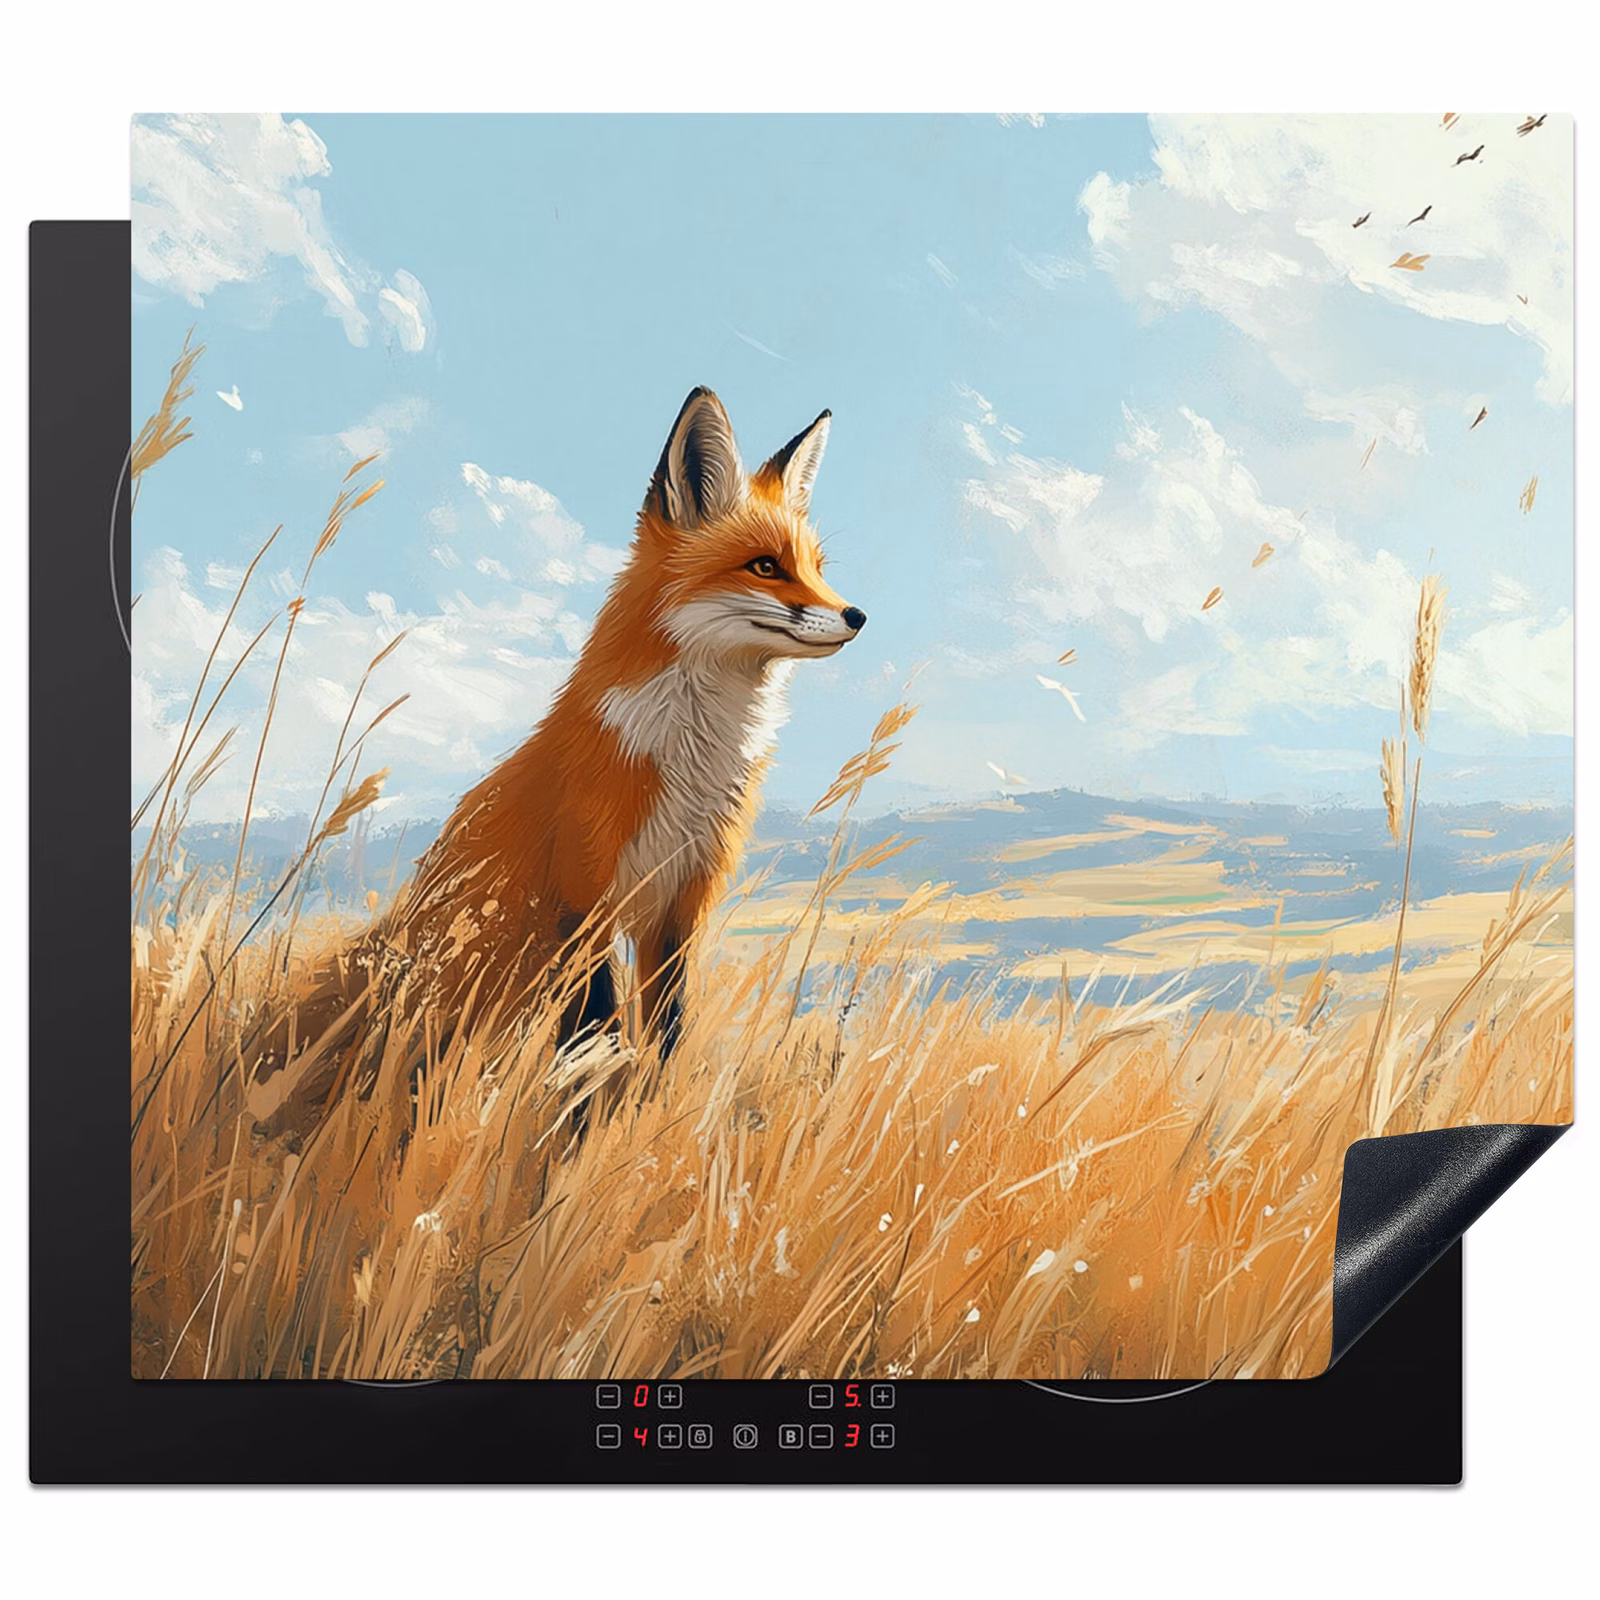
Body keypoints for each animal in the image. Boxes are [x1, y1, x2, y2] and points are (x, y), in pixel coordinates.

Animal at [342, 386, 866, 1126]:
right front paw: (586, 1122)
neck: (690, 763)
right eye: (766, 566)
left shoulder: (681, 901)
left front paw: (651, 1115)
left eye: (817, 569)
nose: (857, 616)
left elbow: (666, 1031)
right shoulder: (583, 899)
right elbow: (594, 1034)